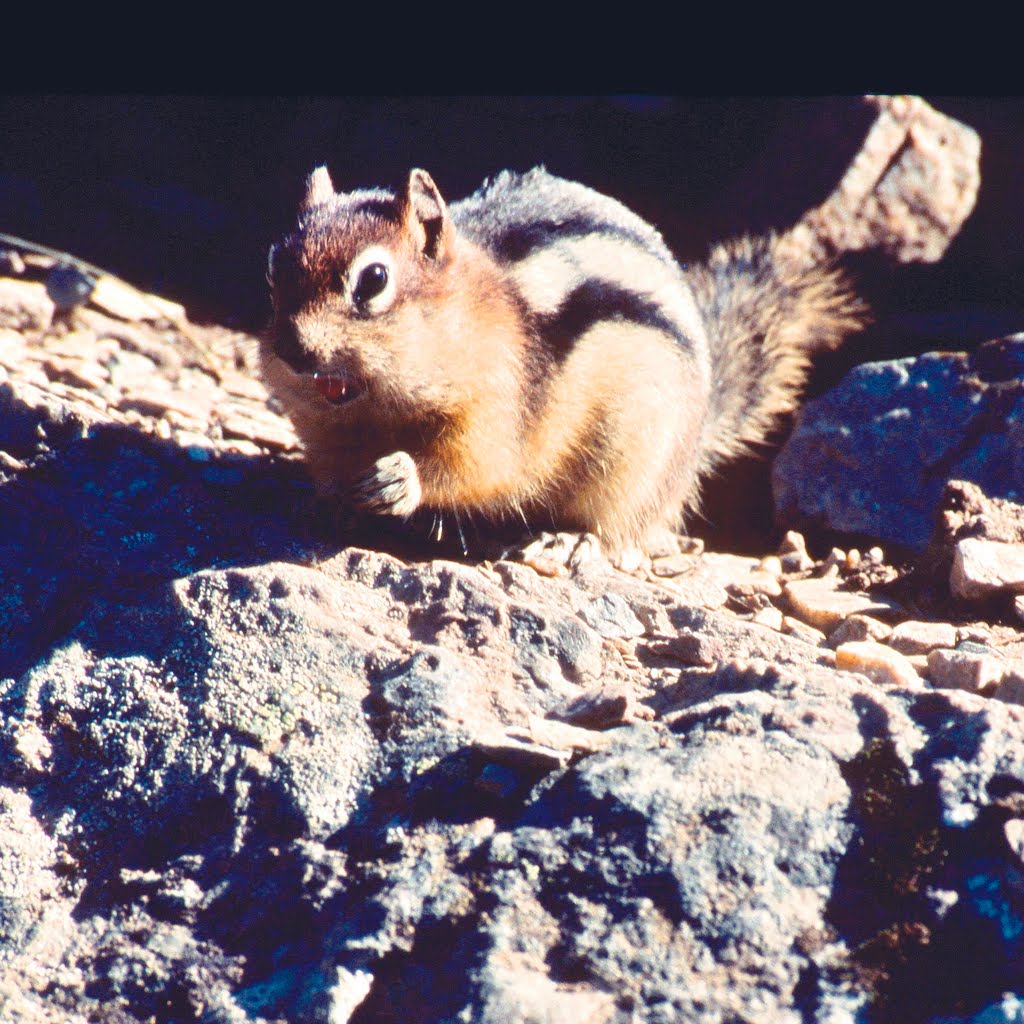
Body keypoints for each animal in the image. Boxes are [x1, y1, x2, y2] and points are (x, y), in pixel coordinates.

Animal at [260, 164, 860, 557]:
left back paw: (567, 540)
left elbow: (478, 467)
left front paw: (401, 477)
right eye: (274, 268)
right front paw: (327, 504)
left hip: (629, 462)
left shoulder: (496, 412)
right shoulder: (321, 429)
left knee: (620, 529)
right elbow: (332, 469)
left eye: (374, 280)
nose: (292, 349)